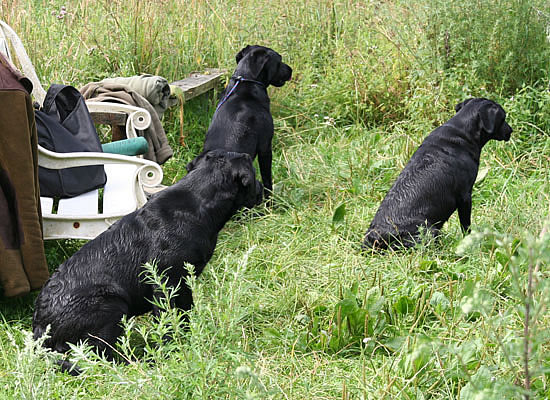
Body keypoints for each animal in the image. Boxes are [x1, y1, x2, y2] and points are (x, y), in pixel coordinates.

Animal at [33, 150, 266, 376]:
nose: (262, 187)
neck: (197, 204)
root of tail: (39, 328)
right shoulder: (166, 284)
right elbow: (168, 322)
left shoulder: (185, 283)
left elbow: (186, 314)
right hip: (113, 306)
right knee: (99, 356)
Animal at [364, 98, 516, 248]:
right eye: (503, 118)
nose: (511, 130)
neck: (463, 132)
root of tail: (375, 236)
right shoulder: (465, 196)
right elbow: (466, 226)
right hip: (429, 231)